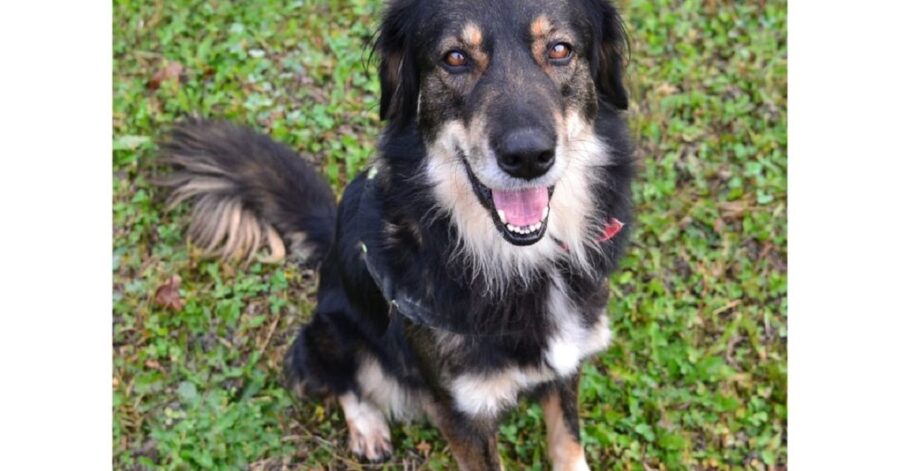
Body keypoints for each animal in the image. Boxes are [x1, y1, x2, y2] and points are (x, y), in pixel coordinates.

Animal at [160, 0, 632, 468]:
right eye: (455, 57)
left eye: (559, 49)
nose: (528, 156)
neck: (519, 263)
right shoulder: (461, 411)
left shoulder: (568, 359)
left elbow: (567, 442)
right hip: (329, 333)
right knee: (341, 380)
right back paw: (368, 428)